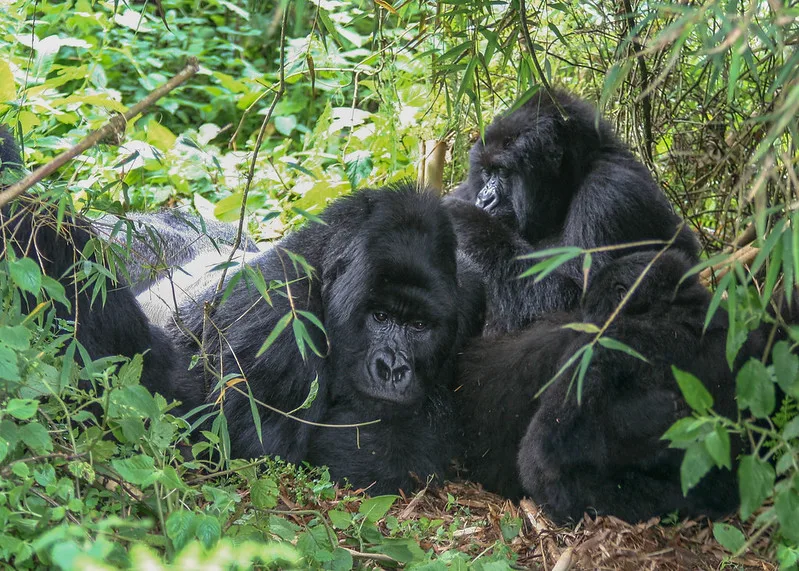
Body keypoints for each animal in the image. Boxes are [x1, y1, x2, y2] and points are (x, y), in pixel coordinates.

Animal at [161, 184, 488, 496]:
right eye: (380, 317)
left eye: (418, 326)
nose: (392, 368)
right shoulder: (277, 320)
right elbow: (262, 456)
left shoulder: (470, 292)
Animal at [450, 89, 700, 336]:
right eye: (486, 172)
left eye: (502, 171)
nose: (484, 199)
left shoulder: (610, 193)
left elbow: (581, 304)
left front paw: (466, 221)